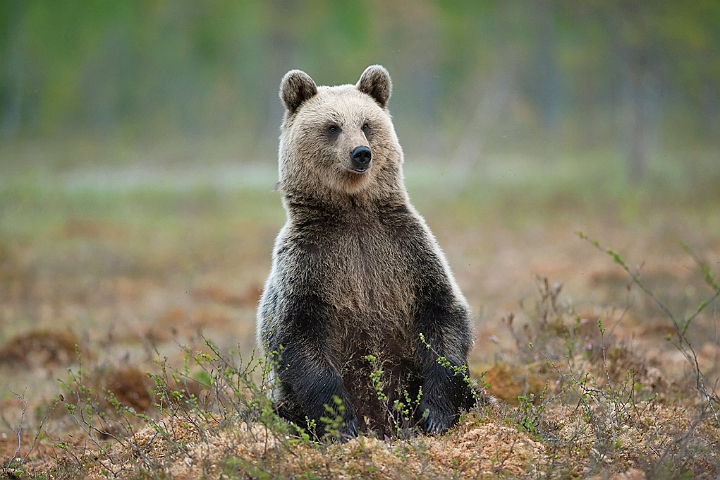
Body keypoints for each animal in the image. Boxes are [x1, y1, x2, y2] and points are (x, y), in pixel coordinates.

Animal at [258, 65, 478, 440]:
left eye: (366, 124)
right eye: (332, 127)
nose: (361, 153)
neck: (354, 214)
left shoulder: (408, 251)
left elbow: (442, 316)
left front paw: (434, 414)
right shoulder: (308, 263)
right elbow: (297, 336)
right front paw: (342, 424)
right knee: (279, 411)